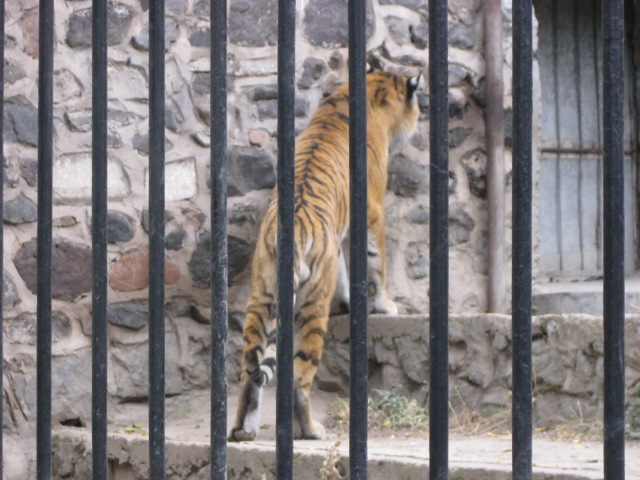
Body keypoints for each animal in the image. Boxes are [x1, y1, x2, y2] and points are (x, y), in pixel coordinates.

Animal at [228, 69, 421, 441]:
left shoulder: (336, 238)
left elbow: (345, 271)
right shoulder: (373, 212)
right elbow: (377, 263)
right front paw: (386, 305)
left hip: (261, 299)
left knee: (250, 373)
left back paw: (243, 431)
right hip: (312, 309)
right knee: (299, 378)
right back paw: (311, 430)